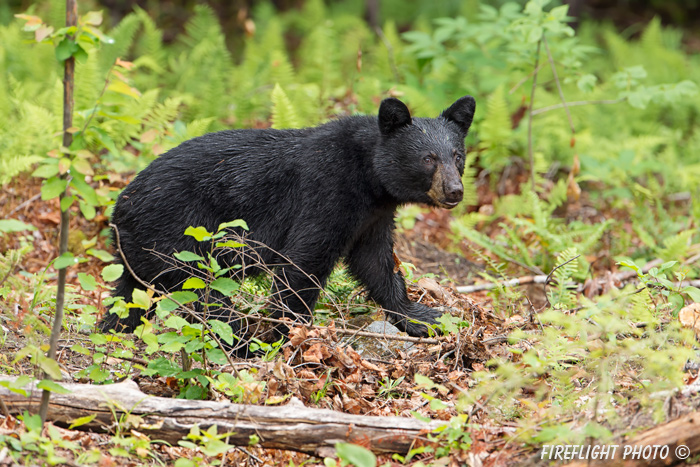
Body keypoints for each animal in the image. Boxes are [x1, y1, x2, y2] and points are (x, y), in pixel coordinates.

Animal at [100, 95, 476, 352]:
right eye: (428, 159)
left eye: (457, 156)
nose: (455, 191)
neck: (370, 178)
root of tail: (119, 209)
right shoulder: (327, 192)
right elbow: (303, 262)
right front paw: (289, 336)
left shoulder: (373, 216)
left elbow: (375, 262)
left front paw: (421, 316)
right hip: (180, 237)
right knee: (208, 298)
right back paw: (243, 344)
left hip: (146, 252)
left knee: (130, 296)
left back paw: (113, 328)